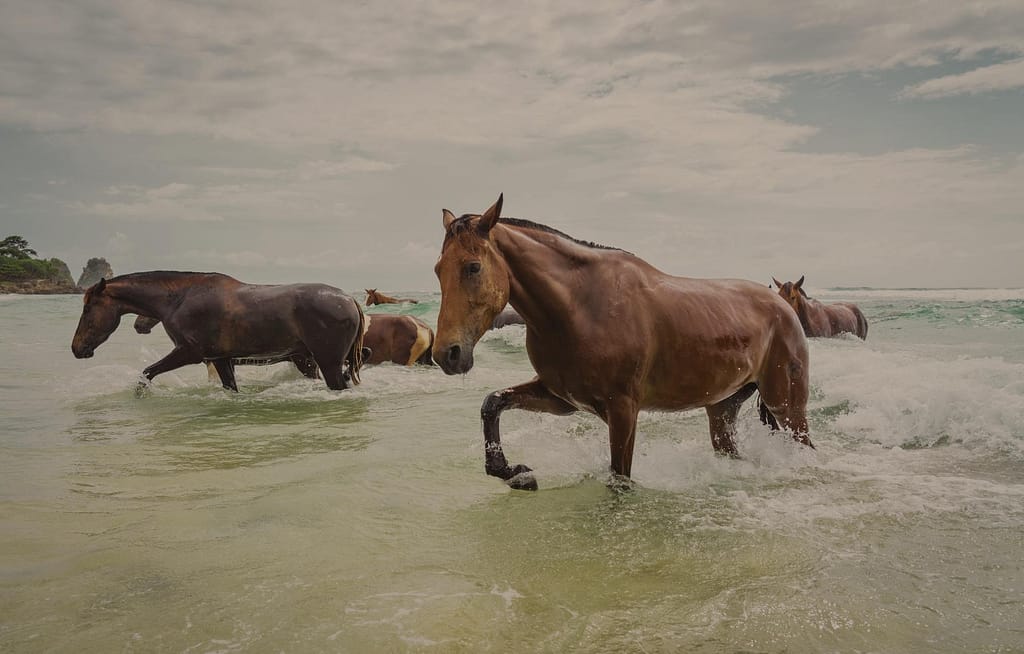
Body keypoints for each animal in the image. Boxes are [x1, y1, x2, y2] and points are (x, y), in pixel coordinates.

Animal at [72, 271, 365, 391]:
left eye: (87, 309)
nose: (76, 348)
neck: (179, 299)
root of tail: (350, 300)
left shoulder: (189, 353)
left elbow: (146, 373)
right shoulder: (220, 359)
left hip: (326, 362)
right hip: (308, 360)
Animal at [433, 194, 814, 490]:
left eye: (472, 267)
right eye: (438, 269)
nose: (447, 355)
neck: (581, 307)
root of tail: (782, 306)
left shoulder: (623, 410)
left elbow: (619, 479)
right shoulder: (562, 398)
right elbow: (492, 403)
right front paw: (516, 472)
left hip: (787, 407)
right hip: (722, 409)